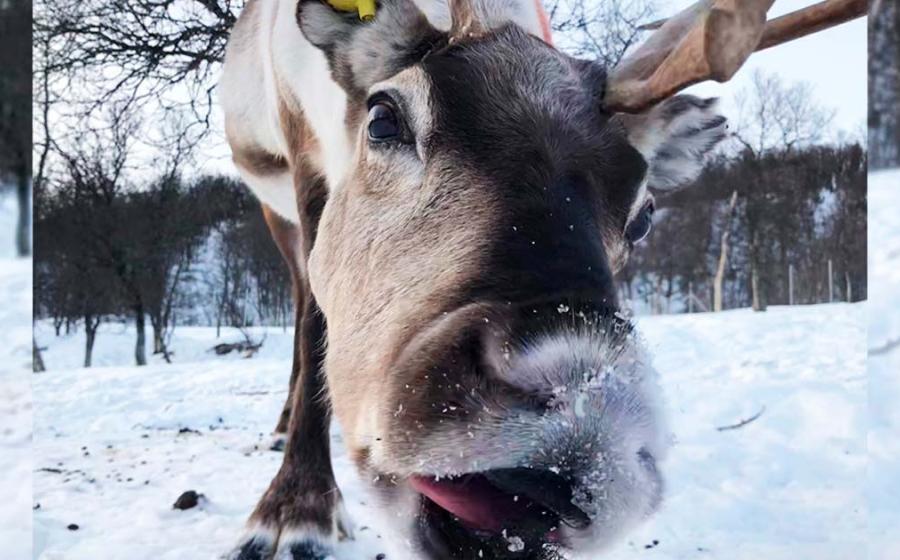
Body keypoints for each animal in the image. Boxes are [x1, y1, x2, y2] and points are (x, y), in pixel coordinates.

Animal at [218, 0, 865, 558]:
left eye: (644, 213)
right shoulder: (304, 164)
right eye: (382, 118)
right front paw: (294, 514)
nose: (583, 417)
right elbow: (314, 327)